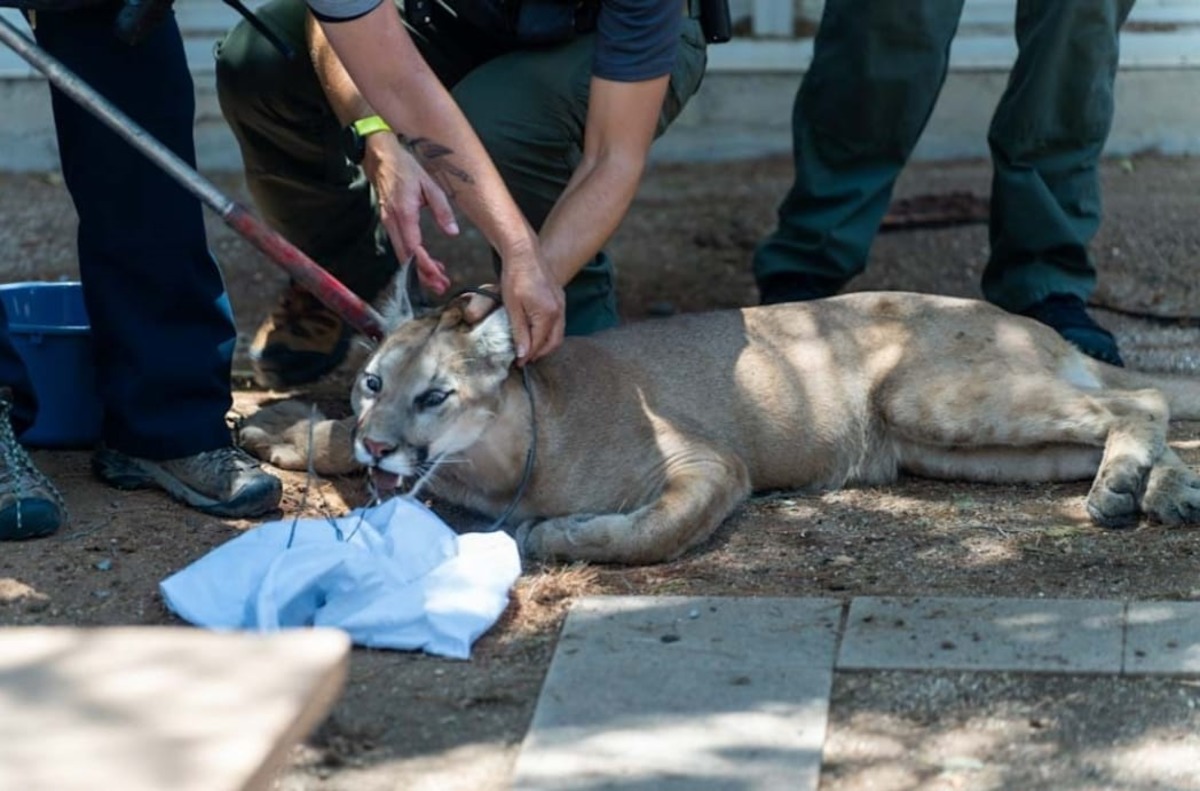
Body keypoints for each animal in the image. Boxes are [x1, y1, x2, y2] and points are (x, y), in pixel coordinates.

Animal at [239, 284, 1200, 565]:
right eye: (371, 383)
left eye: (434, 396)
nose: (378, 438)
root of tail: (1026, 321)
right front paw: (289, 431)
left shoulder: (710, 464)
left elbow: (649, 531)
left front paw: (555, 532)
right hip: (958, 445)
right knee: (1125, 415)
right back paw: (1157, 490)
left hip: (929, 396)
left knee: (1138, 400)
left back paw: (1127, 488)